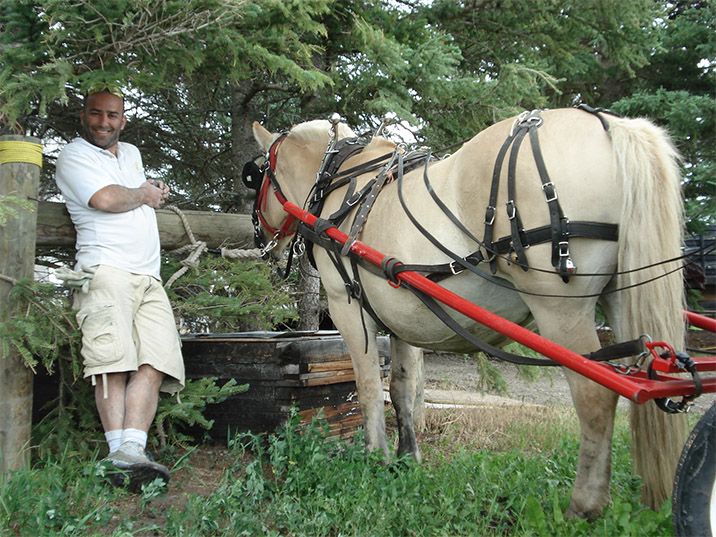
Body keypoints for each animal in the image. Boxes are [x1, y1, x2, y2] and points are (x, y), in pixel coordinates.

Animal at [248, 107, 688, 520]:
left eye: (255, 176)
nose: (260, 238)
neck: (342, 186)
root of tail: (612, 125)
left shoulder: (347, 306)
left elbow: (369, 388)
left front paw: (376, 458)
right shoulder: (403, 315)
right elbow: (404, 389)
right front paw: (408, 460)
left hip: (560, 308)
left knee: (597, 395)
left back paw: (584, 505)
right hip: (622, 297)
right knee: (650, 385)